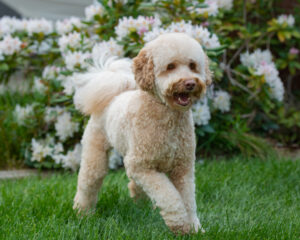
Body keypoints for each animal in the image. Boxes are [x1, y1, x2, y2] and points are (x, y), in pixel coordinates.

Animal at [73, 32, 211, 233]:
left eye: (193, 65)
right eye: (170, 66)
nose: (190, 83)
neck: (167, 115)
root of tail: (113, 96)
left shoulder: (182, 168)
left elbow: (188, 200)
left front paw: (194, 228)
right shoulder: (140, 165)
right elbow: (169, 196)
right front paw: (179, 223)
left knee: (135, 184)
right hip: (96, 152)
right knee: (89, 181)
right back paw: (82, 212)